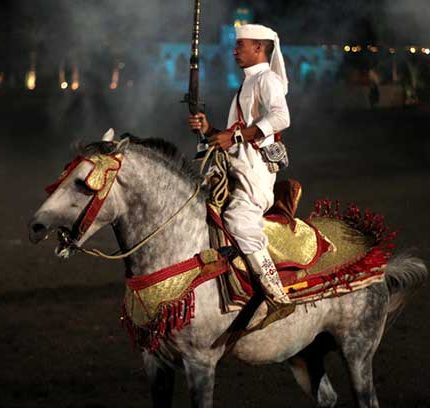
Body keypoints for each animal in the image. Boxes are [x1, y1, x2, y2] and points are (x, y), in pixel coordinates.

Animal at [29, 135, 426, 406]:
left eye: (82, 183)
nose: (36, 225)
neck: (181, 248)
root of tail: (376, 254)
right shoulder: (155, 361)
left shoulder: (200, 362)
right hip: (306, 353)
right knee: (327, 397)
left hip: (357, 350)